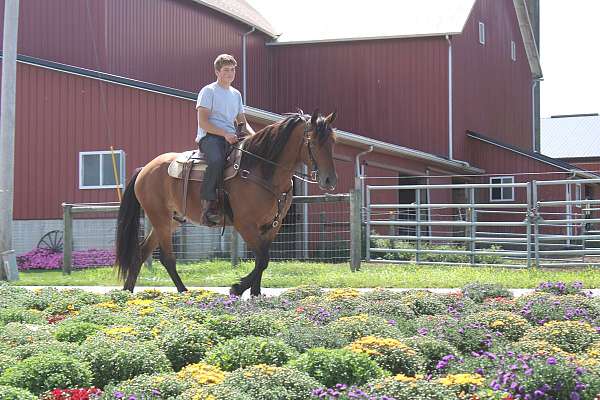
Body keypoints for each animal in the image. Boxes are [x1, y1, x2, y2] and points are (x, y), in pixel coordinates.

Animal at [113, 111, 338, 296]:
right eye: (313, 142)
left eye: (332, 141)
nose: (330, 180)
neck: (261, 170)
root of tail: (145, 169)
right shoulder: (245, 225)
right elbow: (262, 258)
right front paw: (238, 288)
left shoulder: (273, 225)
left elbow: (262, 259)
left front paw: (255, 293)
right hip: (159, 218)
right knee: (167, 259)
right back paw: (183, 292)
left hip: (171, 220)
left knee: (141, 253)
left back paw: (127, 292)